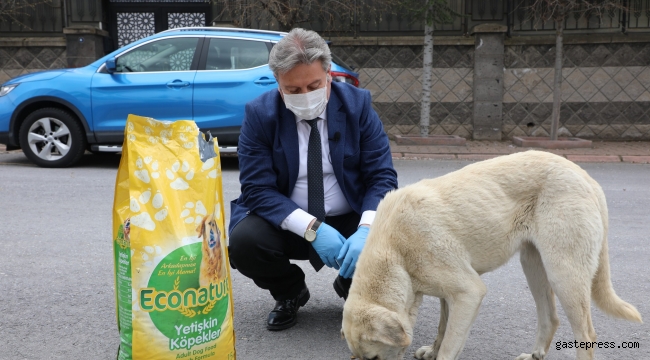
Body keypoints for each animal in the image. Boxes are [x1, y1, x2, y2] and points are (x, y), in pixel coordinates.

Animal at [342, 150, 640, 360]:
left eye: (374, 358)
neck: (396, 253)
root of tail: (585, 176)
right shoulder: (449, 295)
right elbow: (443, 328)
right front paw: (433, 350)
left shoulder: (469, 291)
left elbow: (450, 344)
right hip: (534, 267)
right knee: (551, 318)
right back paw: (533, 356)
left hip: (563, 274)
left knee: (587, 335)